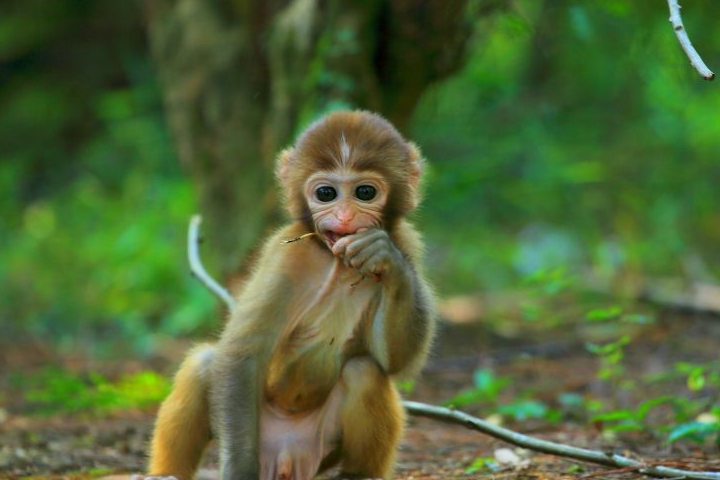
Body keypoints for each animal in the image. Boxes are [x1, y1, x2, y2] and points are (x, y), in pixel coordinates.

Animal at [137, 109, 436, 480]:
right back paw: (165, 473)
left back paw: (356, 474)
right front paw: (238, 471)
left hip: (319, 451)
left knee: (364, 371)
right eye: (326, 193)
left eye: (365, 192)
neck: (335, 262)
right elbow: (242, 354)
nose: (345, 216)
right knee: (204, 364)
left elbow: (396, 362)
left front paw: (385, 259)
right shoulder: (286, 254)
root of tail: (285, 458)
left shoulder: (406, 241)